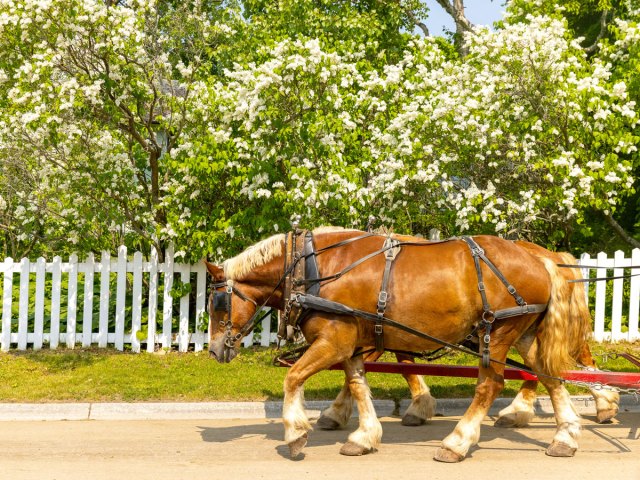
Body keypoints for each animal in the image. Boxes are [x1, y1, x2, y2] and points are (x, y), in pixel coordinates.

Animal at [206, 227, 589, 462]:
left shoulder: (333, 341)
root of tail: (540, 259)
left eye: (218, 303)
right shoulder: (352, 345)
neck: (312, 269)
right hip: (525, 333)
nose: (214, 350)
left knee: (491, 385)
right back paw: (565, 436)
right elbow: (358, 385)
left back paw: (458, 442)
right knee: (549, 375)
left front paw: (295, 433)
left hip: (497, 333)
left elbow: (293, 378)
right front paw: (364, 435)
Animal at [317, 240, 619, 431]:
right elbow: (399, 365)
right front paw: (419, 405)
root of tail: (548, 256)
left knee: (570, 360)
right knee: (542, 368)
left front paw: (335, 412)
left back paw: (603, 400)